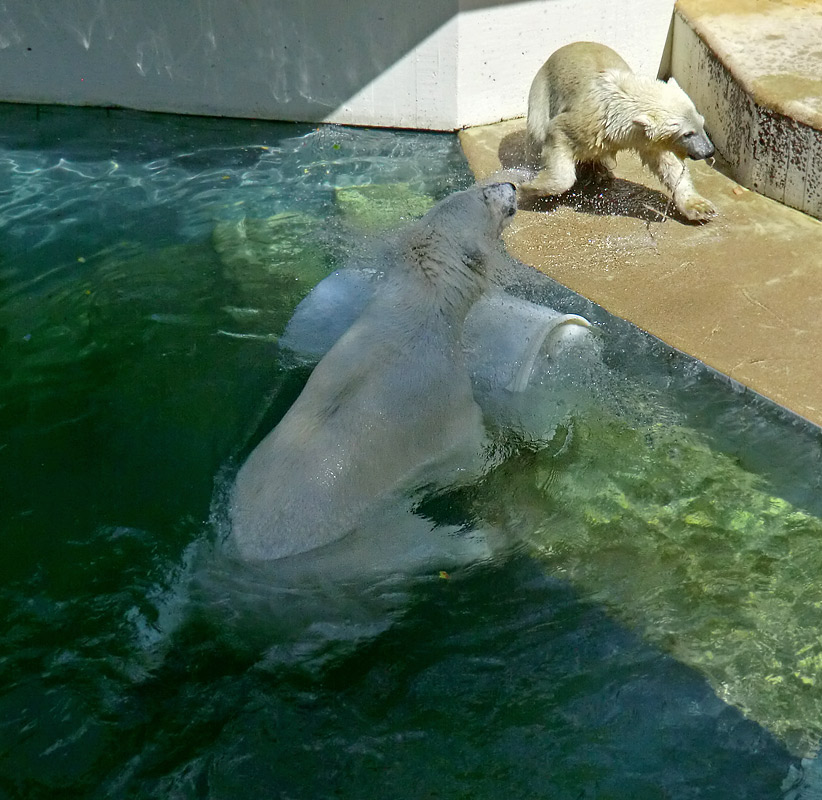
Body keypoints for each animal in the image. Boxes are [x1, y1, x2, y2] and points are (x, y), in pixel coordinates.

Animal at [229, 184, 520, 564]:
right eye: (484, 195)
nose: (511, 186)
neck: (417, 318)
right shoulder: (449, 411)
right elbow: (474, 459)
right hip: (370, 543)